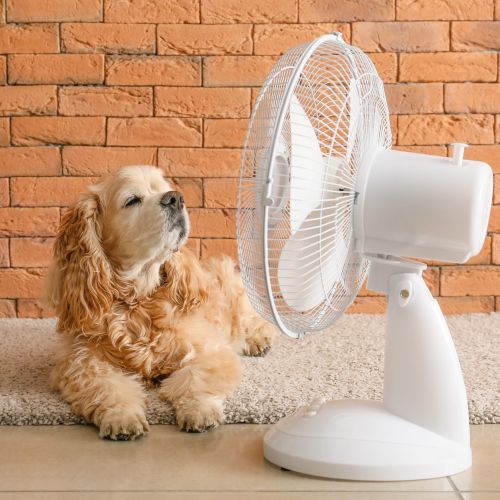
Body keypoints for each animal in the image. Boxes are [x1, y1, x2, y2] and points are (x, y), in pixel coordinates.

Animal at [45, 166, 276, 440]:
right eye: (132, 200)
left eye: (164, 189)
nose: (175, 198)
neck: (138, 301)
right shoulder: (82, 362)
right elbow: (109, 388)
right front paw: (121, 417)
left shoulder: (210, 351)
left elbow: (195, 379)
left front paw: (199, 411)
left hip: (233, 286)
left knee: (253, 318)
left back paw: (259, 340)